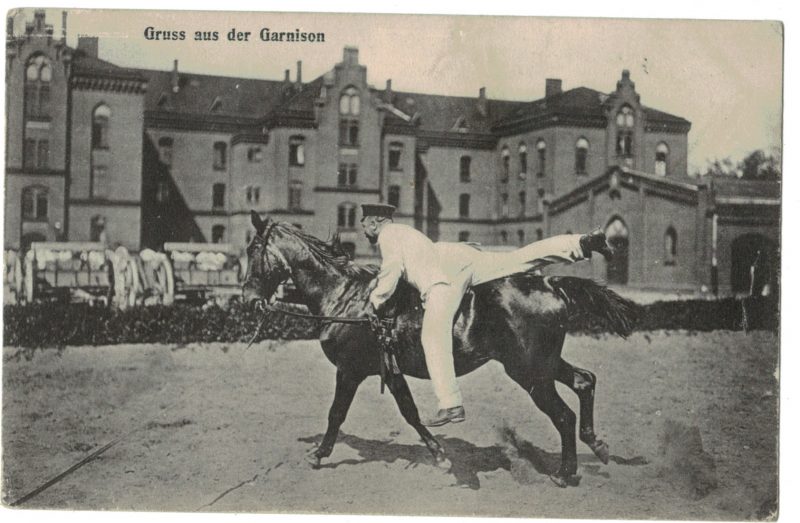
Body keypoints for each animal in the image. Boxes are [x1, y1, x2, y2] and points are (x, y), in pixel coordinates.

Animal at [244, 212, 636, 488]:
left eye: (252, 250)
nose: (248, 299)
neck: (346, 298)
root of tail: (550, 283)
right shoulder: (390, 370)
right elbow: (410, 412)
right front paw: (439, 454)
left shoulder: (350, 370)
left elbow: (336, 414)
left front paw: (318, 454)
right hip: (545, 365)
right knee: (585, 381)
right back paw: (595, 444)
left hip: (529, 373)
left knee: (564, 415)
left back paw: (565, 472)